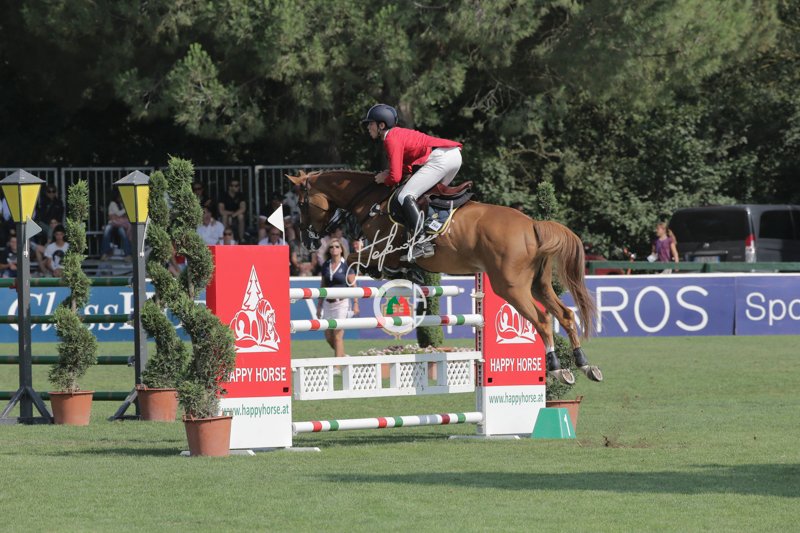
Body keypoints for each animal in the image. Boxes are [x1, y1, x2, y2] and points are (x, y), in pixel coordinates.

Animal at [287, 170, 602, 384]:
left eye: (301, 204)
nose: (308, 242)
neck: (371, 202)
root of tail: (533, 225)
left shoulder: (379, 252)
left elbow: (356, 261)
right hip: (538, 285)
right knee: (564, 315)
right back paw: (585, 365)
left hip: (511, 287)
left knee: (543, 320)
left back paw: (558, 369)